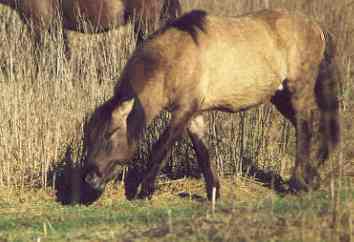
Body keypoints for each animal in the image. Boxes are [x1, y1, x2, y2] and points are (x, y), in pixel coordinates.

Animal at [82, 9, 340, 200]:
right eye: (89, 136)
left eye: (110, 133)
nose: (89, 179)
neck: (175, 56)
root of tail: (316, 26)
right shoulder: (193, 114)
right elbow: (202, 151)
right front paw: (213, 192)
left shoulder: (183, 111)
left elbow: (160, 148)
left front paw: (144, 191)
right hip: (280, 96)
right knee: (305, 125)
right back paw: (312, 175)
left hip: (298, 89)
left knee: (305, 126)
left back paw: (298, 183)